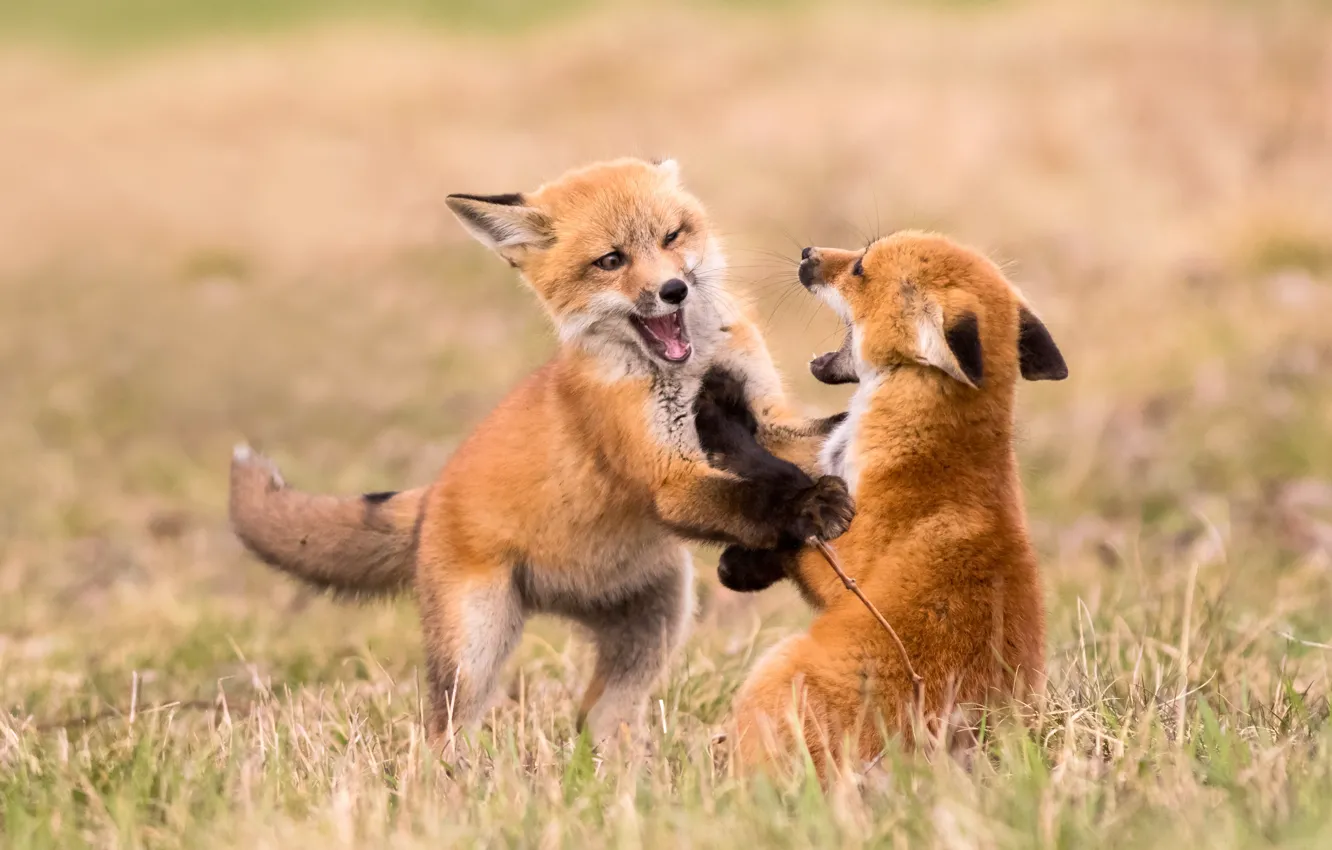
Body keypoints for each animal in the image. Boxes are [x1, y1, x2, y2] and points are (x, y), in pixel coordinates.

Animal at [228, 157, 854, 748]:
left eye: (673, 236)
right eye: (611, 260)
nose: (673, 290)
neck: (687, 367)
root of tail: (434, 494)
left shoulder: (765, 420)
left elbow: (820, 437)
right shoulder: (670, 478)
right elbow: (755, 497)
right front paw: (810, 507)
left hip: (659, 617)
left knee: (596, 715)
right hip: (478, 649)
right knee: (441, 734)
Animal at [695, 231, 1067, 777]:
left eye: (860, 268)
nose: (807, 253)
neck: (920, 450)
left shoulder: (844, 563)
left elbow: (791, 525)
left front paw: (718, 413)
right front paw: (743, 566)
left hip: (775, 667)